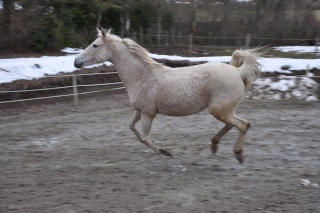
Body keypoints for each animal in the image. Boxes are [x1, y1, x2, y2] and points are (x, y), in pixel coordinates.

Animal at [75, 28, 262, 163]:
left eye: (95, 45)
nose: (76, 62)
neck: (142, 76)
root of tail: (238, 71)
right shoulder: (140, 111)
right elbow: (132, 128)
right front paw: (164, 150)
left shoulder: (148, 114)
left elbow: (145, 138)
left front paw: (166, 152)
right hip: (224, 110)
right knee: (236, 124)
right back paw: (214, 145)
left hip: (219, 110)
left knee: (243, 125)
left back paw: (238, 154)